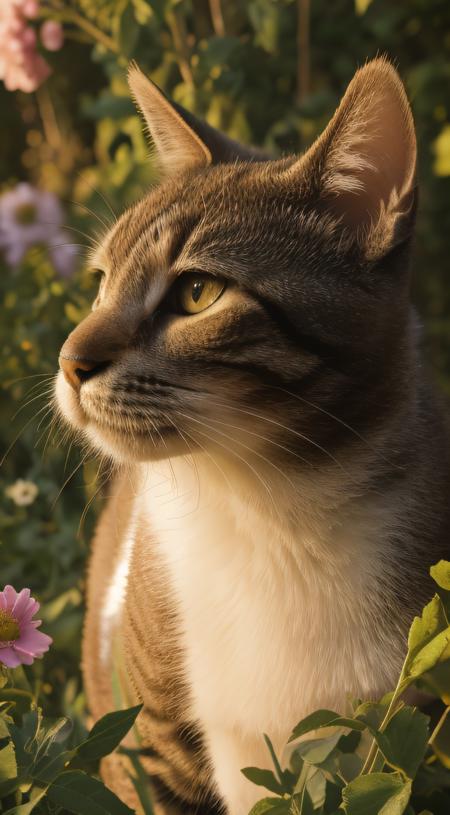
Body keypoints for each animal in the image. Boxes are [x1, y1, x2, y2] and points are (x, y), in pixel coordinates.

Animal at [55, 59, 450, 815]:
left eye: (198, 293)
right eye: (101, 284)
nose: (69, 361)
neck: (268, 510)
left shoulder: (408, 737)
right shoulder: (153, 740)